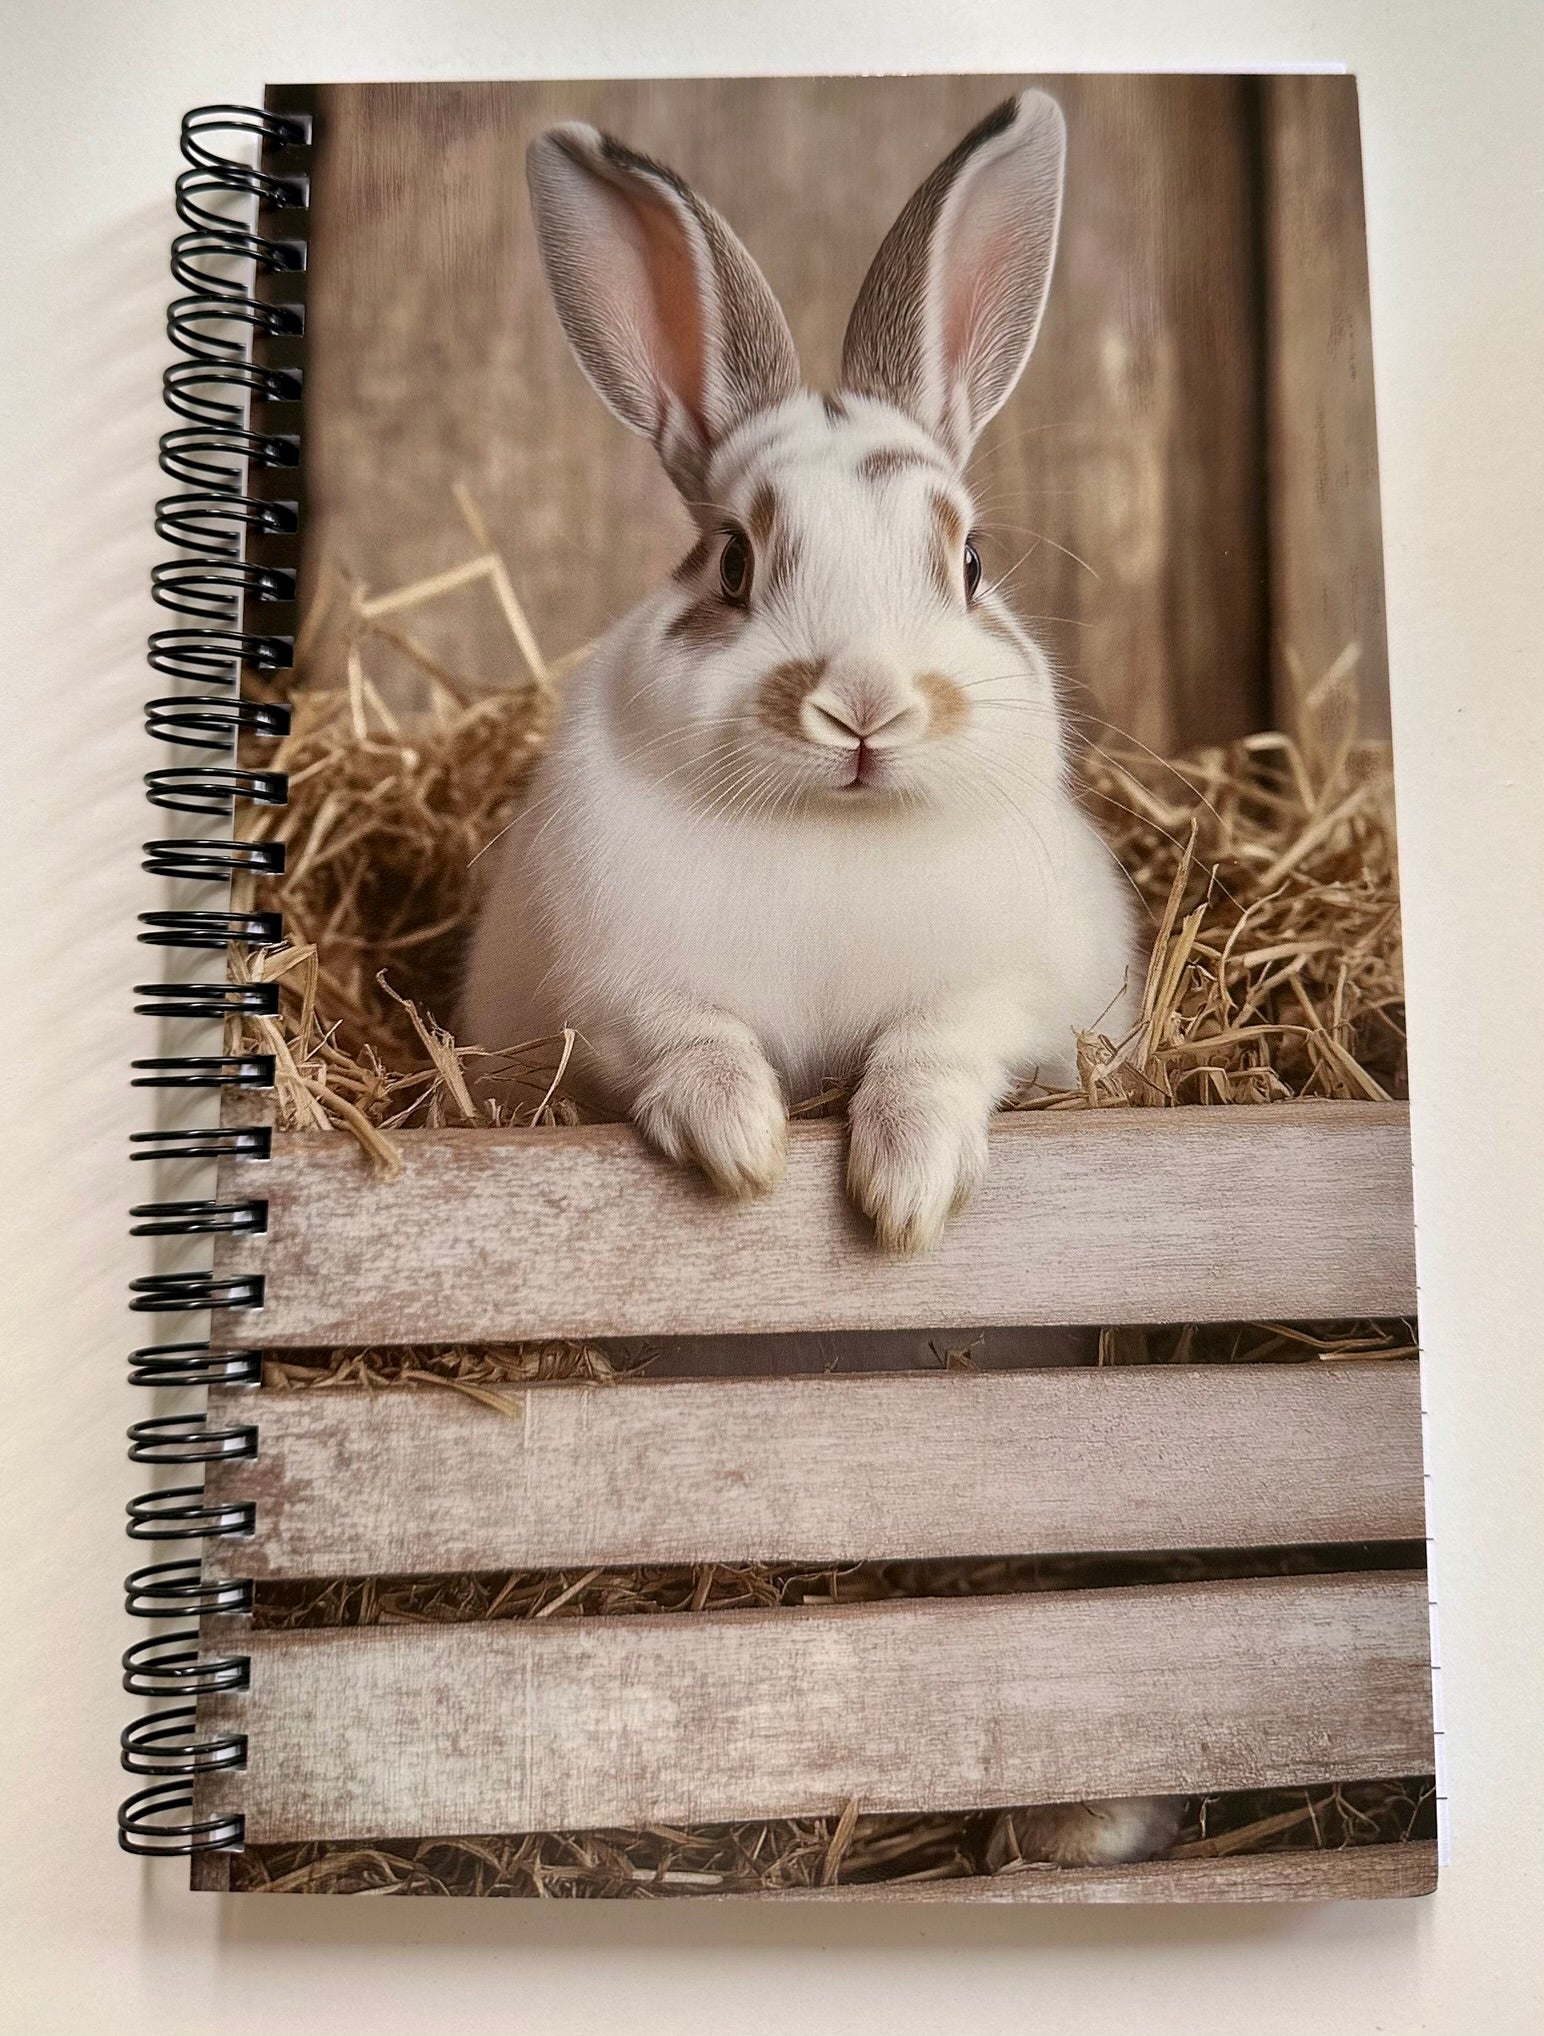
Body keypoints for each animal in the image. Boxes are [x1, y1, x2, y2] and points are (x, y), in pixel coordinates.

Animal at [462, 90, 1141, 1259]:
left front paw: (906, 1192)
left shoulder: (1010, 990)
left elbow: (930, 1051)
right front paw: (743, 1148)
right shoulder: (611, 991)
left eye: (968, 563)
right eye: (734, 562)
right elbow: (692, 1039)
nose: (865, 708)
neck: (836, 832)